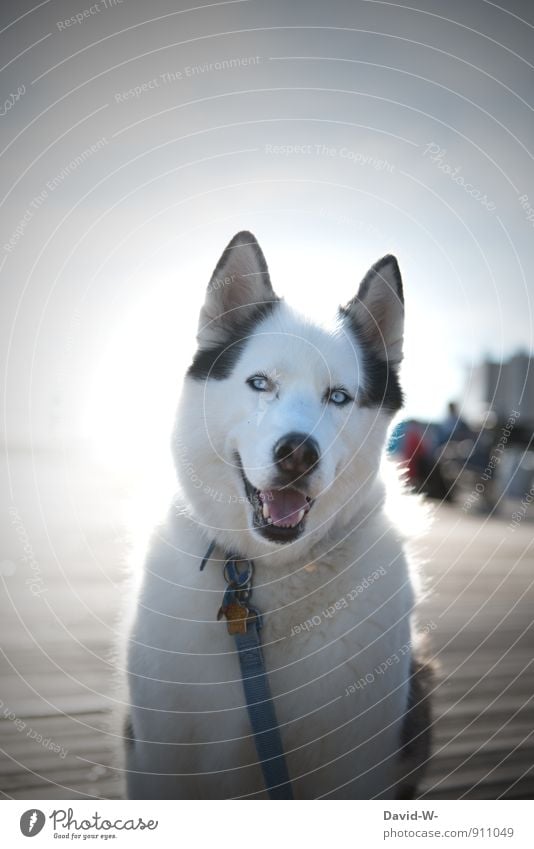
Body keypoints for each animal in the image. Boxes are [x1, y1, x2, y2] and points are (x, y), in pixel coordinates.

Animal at [123, 230, 434, 796]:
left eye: (339, 397)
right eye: (260, 383)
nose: (298, 453)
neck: (265, 575)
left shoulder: (355, 763)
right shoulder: (160, 755)